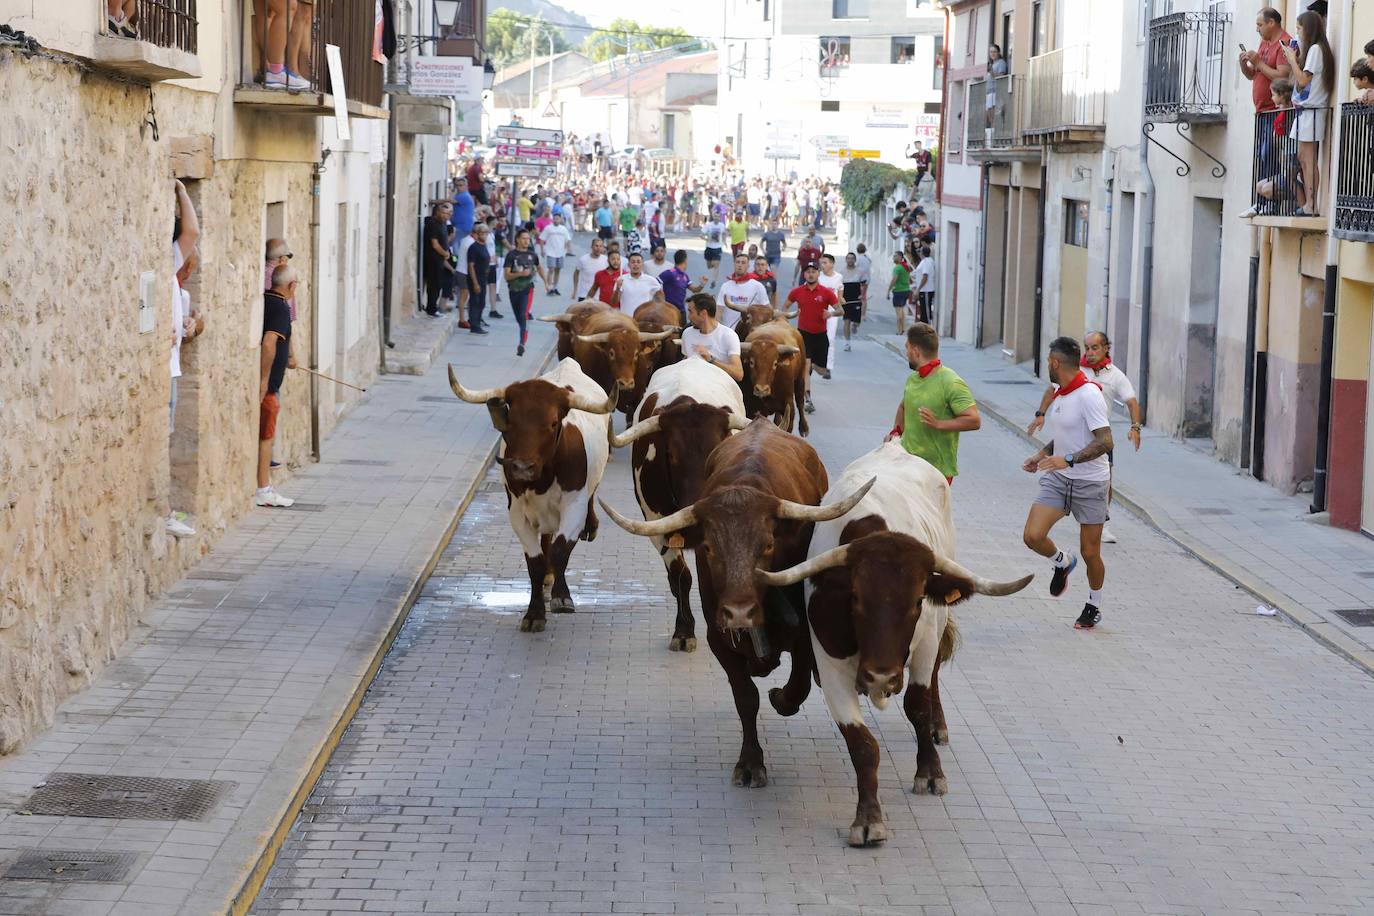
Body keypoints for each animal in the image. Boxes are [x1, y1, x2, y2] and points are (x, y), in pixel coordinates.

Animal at [447, 359, 615, 637]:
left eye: (553, 423)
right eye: (511, 421)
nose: (522, 468)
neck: (542, 480)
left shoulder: (574, 508)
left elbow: (560, 550)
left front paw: (561, 598)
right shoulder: (517, 515)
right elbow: (535, 563)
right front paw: (535, 613)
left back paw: (590, 528)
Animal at [601, 420, 868, 791]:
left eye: (768, 544)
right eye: (709, 548)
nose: (739, 612)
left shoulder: (803, 635)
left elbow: (797, 686)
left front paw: (780, 698)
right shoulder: (718, 638)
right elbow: (746, 698)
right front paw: (750, 763)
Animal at [763, 439, 1033, 851]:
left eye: (917, 600)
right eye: (855, 598)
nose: (880, 677)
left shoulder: (923, 643)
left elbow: (916, 706)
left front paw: (931, 772)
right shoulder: (830, 663)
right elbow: (862, 744)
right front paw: (868, 819)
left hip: (938, 624)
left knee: (934, 676)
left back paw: (938, 727)